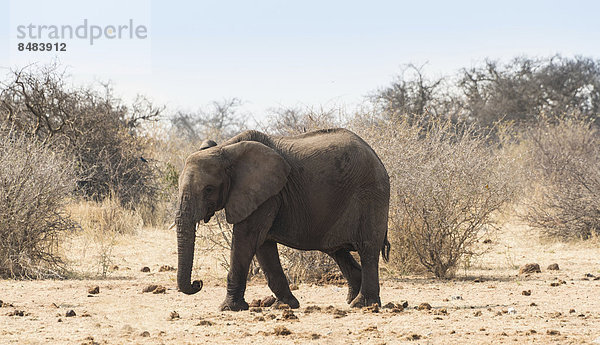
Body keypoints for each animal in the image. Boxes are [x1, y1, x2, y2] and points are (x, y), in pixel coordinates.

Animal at [175, 127, 390, 310]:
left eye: (208, 189)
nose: (198, 283)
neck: (225, 149)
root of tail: (376, 157)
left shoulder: (267, 195)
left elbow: (247, 239)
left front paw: (228, 308)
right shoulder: (265, 195)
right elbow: (263, 246)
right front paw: (285, 305)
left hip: (370, 195)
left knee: (367, 249)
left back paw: (363, 304)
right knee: (338, 252)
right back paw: (351, 300)